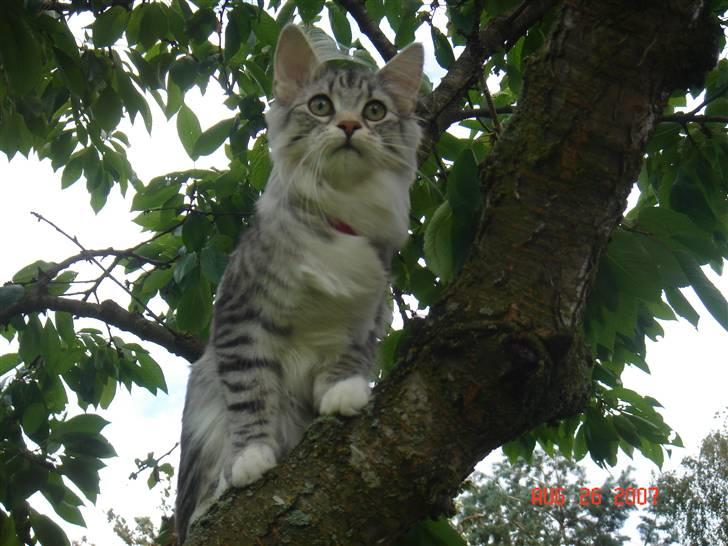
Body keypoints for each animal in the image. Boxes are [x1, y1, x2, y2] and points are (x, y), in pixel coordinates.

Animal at [176, 24, 424, 540]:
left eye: (374, 111)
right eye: (322, 105)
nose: (349, 125)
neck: (338, 216)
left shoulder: (367, 312)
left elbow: (350, 356)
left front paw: (342, 391)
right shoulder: (239, 322)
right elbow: (250, 396)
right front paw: (251, 458)